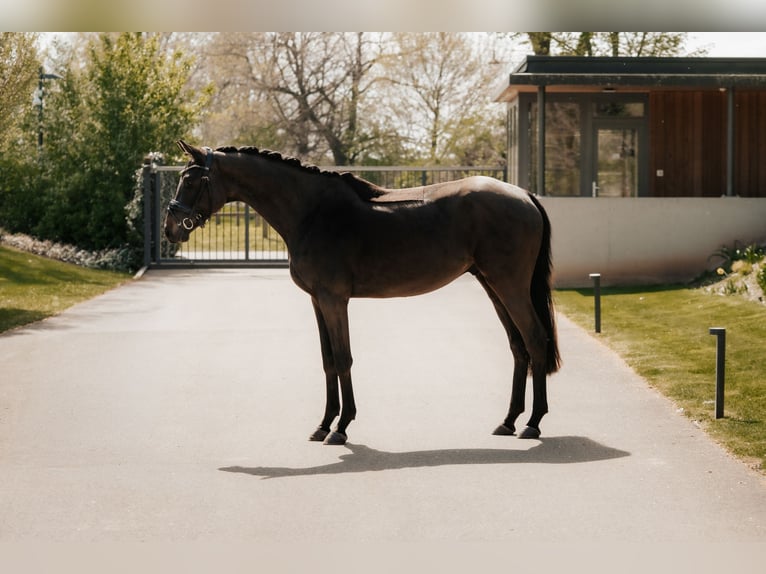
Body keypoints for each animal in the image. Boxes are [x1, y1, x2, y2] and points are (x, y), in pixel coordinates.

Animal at [165, 140, 561, 445]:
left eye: (192, 180)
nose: (171, 228)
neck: (311, 212)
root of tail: (524, 195)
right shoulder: (318, 301)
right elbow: (327, 361)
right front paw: (323, 425)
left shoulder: (334, 300)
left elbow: (343, 358)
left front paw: (340, 428)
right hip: (492, 285)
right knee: (518, 346)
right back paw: (508, 421)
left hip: (509, 285)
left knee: (535, 338)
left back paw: (532, 423)